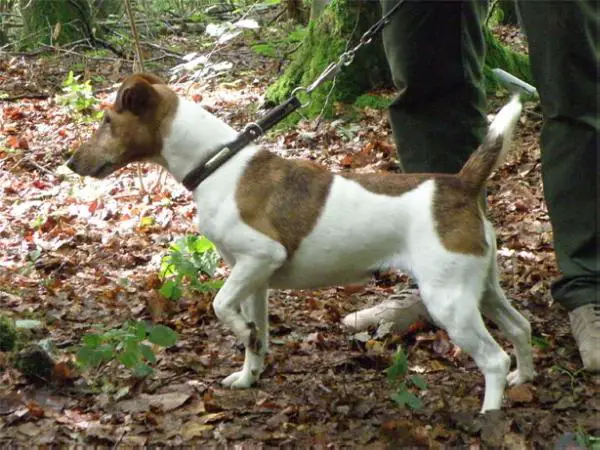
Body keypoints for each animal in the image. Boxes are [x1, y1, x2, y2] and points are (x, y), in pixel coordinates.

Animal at [67, 73, 536, 412]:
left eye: (107, 122)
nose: (70, 162)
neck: (218, 163)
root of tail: (460, 184)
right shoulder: (254, 277)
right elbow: (255, 334)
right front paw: (249, 374)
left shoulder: (260, 256)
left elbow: (220, 306)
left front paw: (240, 333)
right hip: (481, 288)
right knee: (521, 326)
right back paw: (523, 379)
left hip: (448, 301)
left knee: (494, 359)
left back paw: (490, 416)